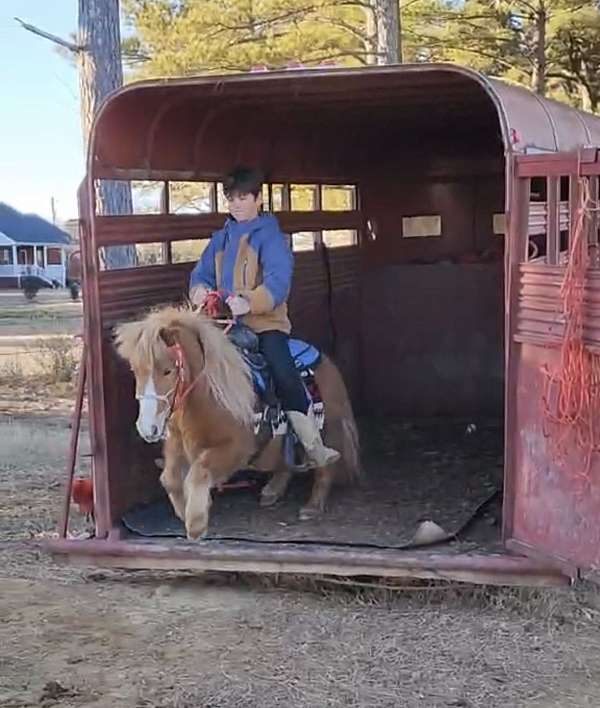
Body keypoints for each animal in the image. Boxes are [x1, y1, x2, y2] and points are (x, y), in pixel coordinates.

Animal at [116, 306, 360, 540]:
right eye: (136, 370)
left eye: (167, 370)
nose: (147, 428)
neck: (207, 397)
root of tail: (324, 360)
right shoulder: (176, 444)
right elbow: (169, 479)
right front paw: (184, 511)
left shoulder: (234, 450)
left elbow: (198, 473)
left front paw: (196, 524)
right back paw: (272, 491)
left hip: (329, 428)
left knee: (324, 468)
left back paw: (312, 507)